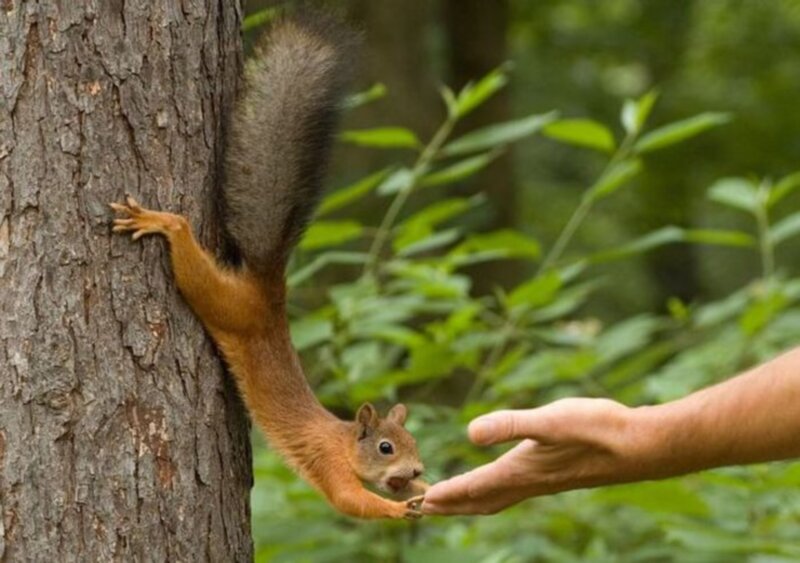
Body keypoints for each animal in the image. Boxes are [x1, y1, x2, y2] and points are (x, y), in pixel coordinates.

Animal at [110, 10, 427, 520]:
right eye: (386, 447)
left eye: (413, 441)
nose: (416, 471)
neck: (344, 442)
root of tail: (268, 285)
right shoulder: (325, 462)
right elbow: (349, 501)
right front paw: (399, 509)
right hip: (224, 303)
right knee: (188, 248)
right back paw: (163, 221)